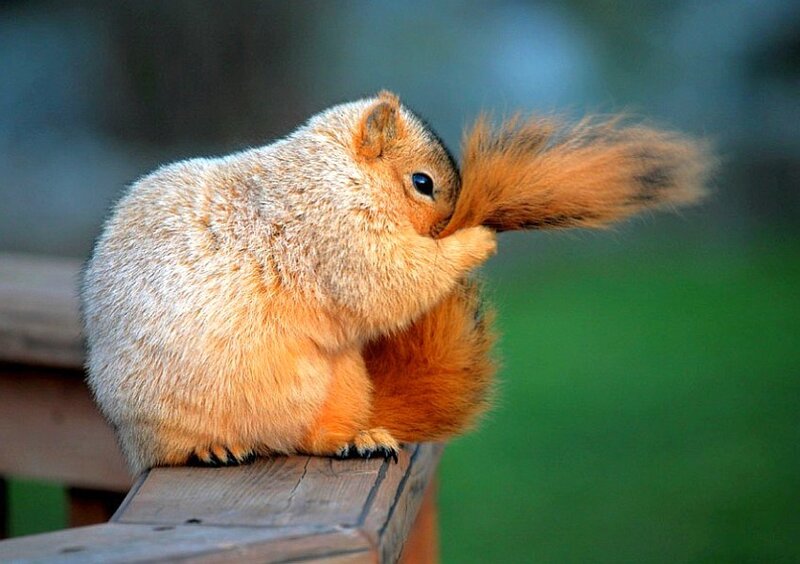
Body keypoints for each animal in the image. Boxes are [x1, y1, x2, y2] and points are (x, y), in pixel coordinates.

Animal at [82, 91, 711, 474]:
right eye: (423, 182)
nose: (445, 224)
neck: (340, 172)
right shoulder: (335, 233)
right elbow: (393, 280)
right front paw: (473, 241)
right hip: (160, 422)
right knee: (173, 451)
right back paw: (210, 448)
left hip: (339, 384)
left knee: (312, 438)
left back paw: (355, 440)